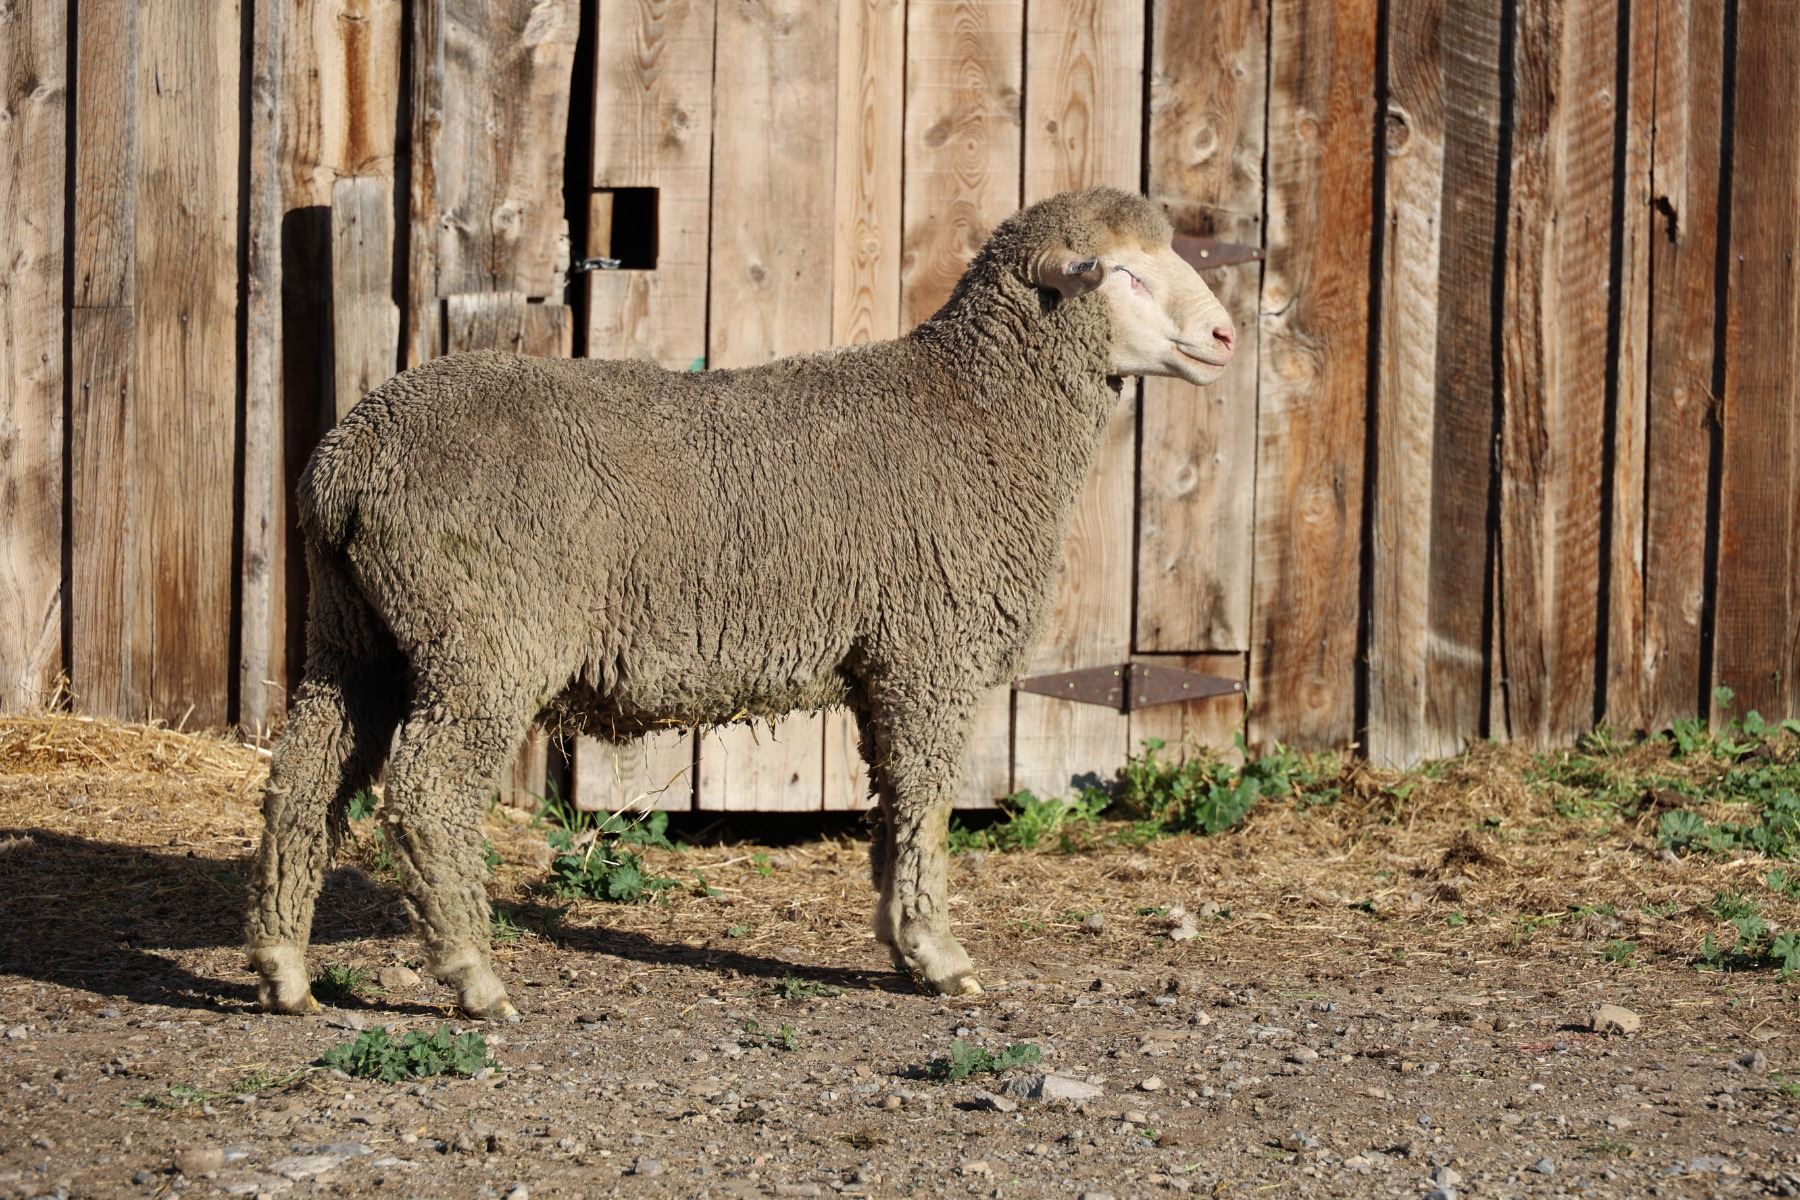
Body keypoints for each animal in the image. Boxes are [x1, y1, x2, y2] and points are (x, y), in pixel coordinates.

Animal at [246, 186, 1238, 1019]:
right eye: (1122, 272)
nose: (1226, 337)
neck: (981, 414)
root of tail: (348, 461)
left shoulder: (884, 664)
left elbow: (891, 810)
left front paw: (898, 940)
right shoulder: (929, 654)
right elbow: (925, 805)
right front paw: (938, 955)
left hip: (354, 634)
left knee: (302, 780)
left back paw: (284, 971)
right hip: (482, 638)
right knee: (426, 794)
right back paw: (473, 977)